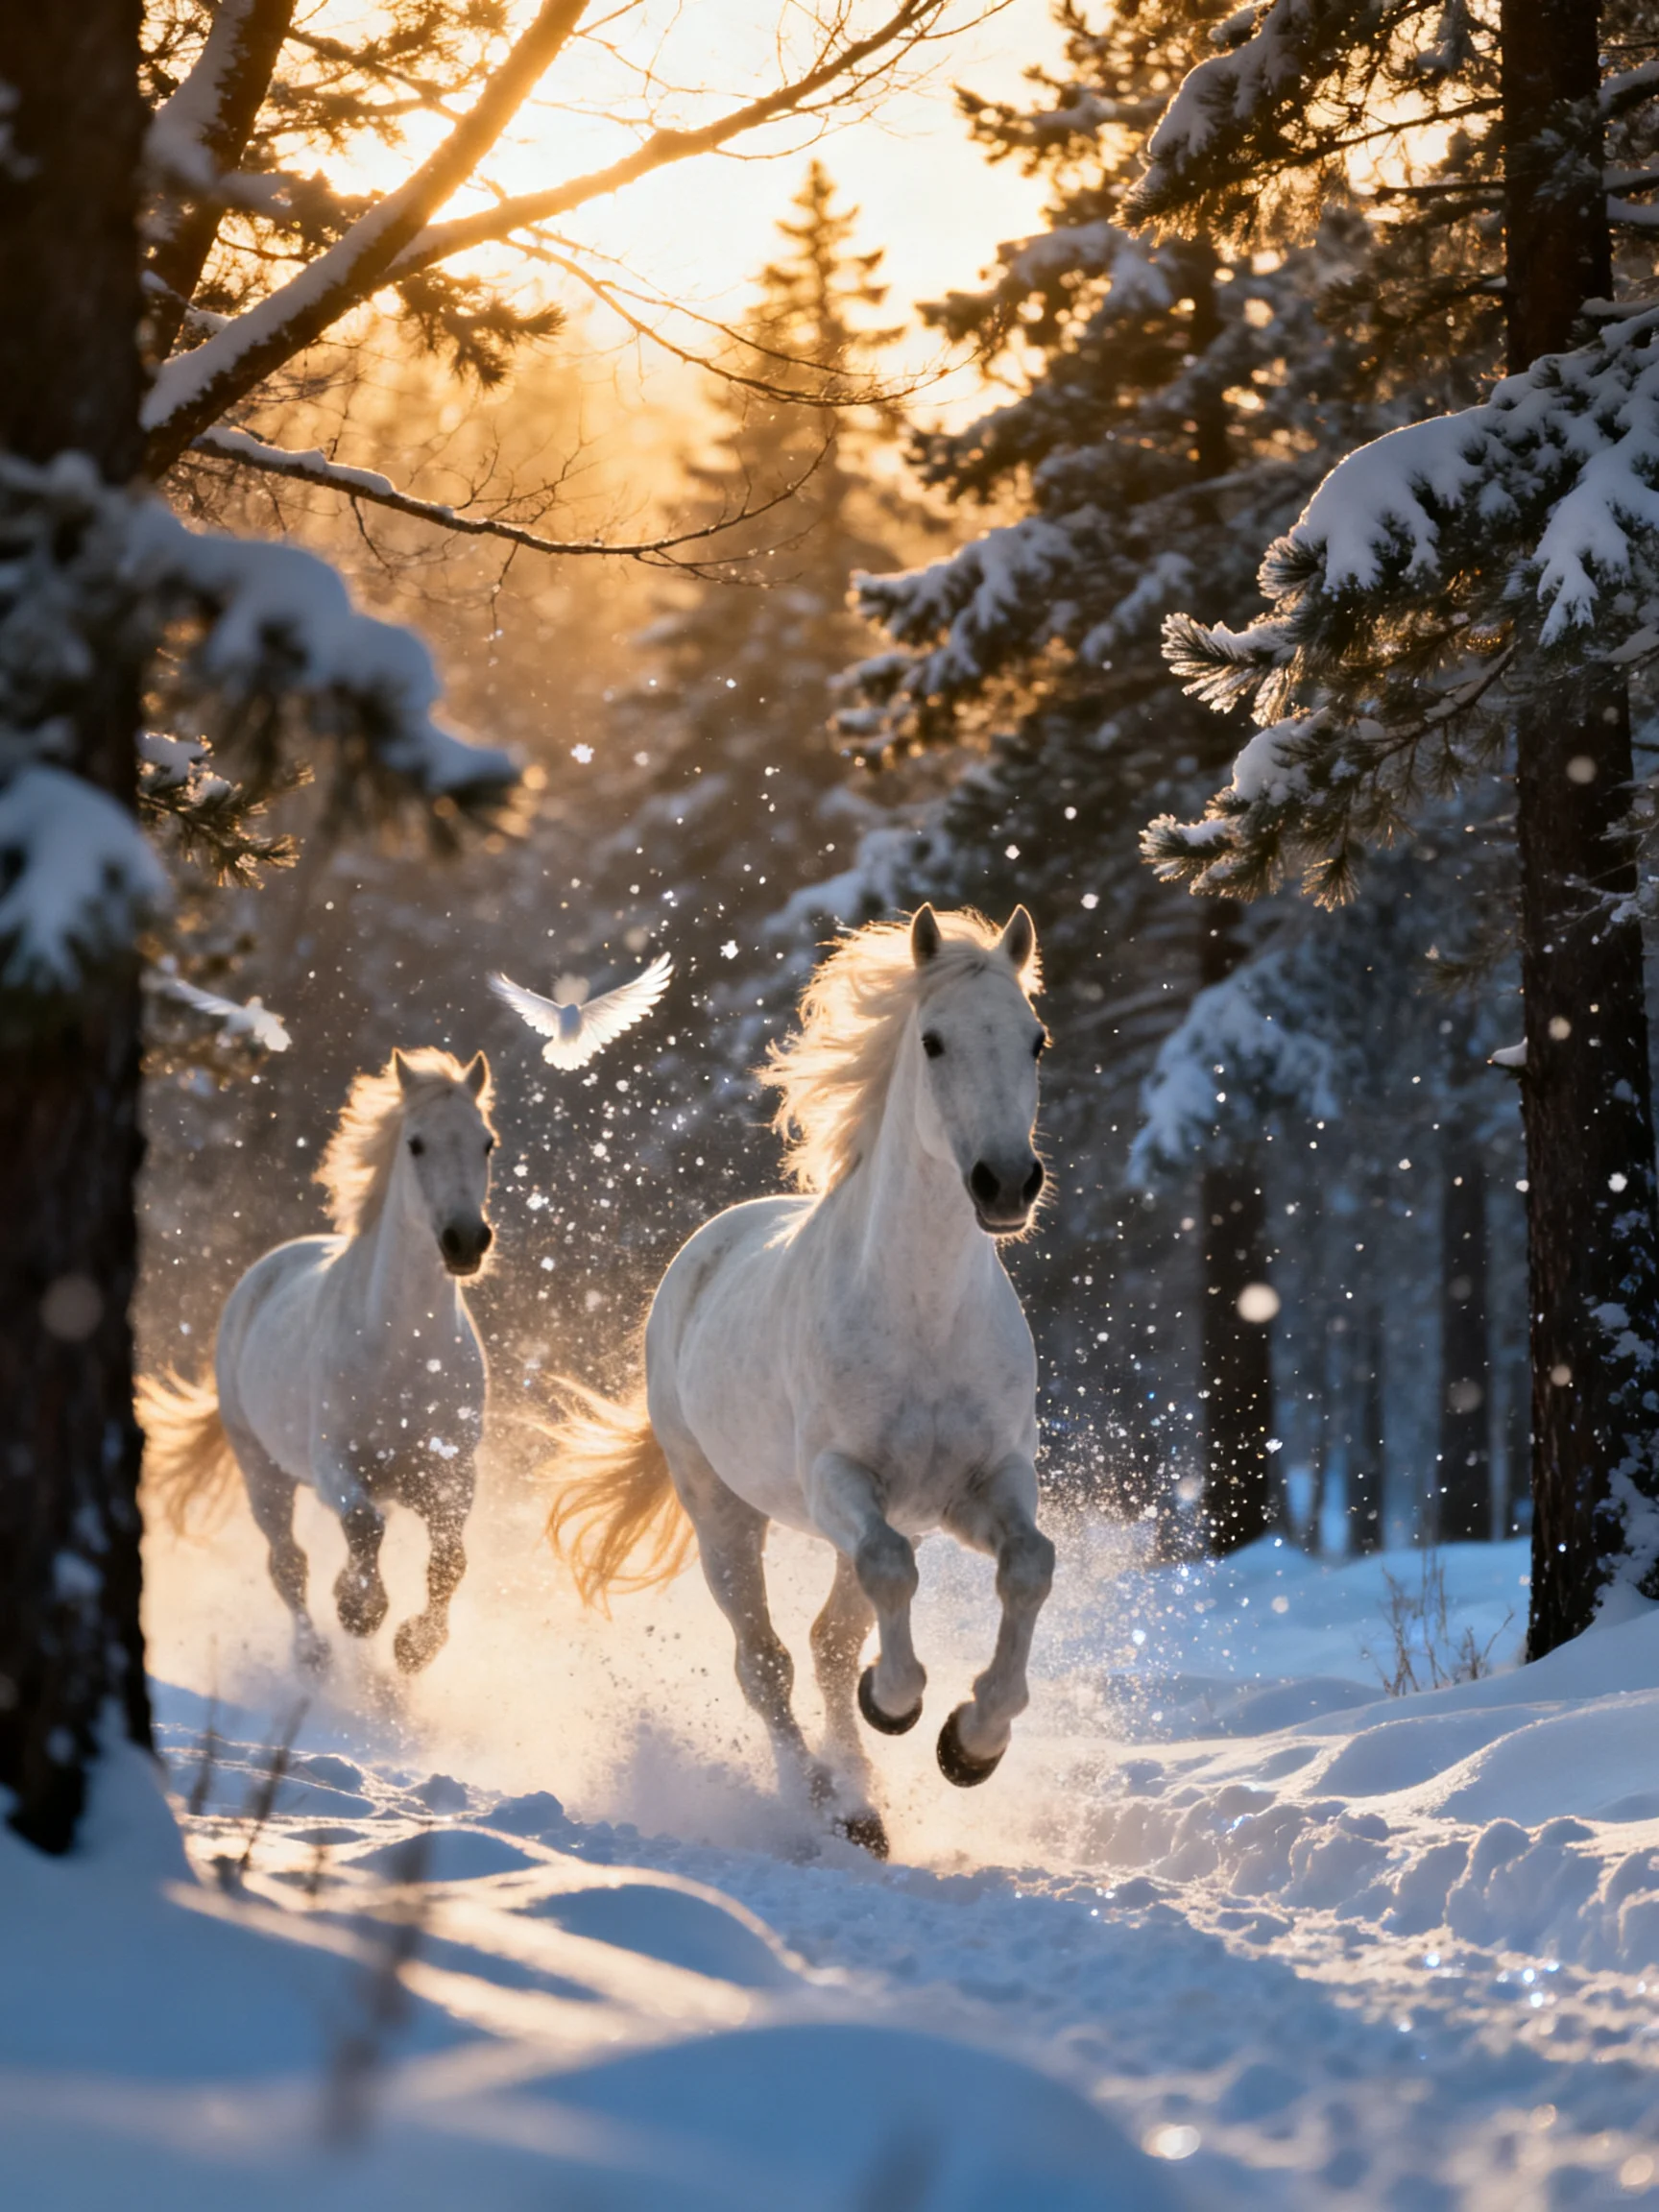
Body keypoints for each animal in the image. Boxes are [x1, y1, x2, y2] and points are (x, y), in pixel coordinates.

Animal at [140, 1047, 496, 1675]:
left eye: (487, 1143)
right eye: (416, 1143)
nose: (465, 1241)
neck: (405, 1352)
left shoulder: (450, 1473)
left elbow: (450, 1559)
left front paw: (414, 1647)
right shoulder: (334, 1461)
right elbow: (362, 1526)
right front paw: (359, 1610)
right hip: (263, 1472)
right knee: (288, 1564)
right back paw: (312, 1655)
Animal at [543, 906, 1055, 1858]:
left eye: (1035, 1040)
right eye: (932, 1041)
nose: (1007, 1183)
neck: (923, 1313)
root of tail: (704, 1249)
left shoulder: (979, 1486)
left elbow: (1029, 1568)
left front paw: (972, 1742)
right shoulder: (840, 1482)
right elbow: (887, 1579)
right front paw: (897, 1703)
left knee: (825, 1643)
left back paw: (862, 1806)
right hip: (722, 1512)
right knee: (766, 1663)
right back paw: (828, 1802)